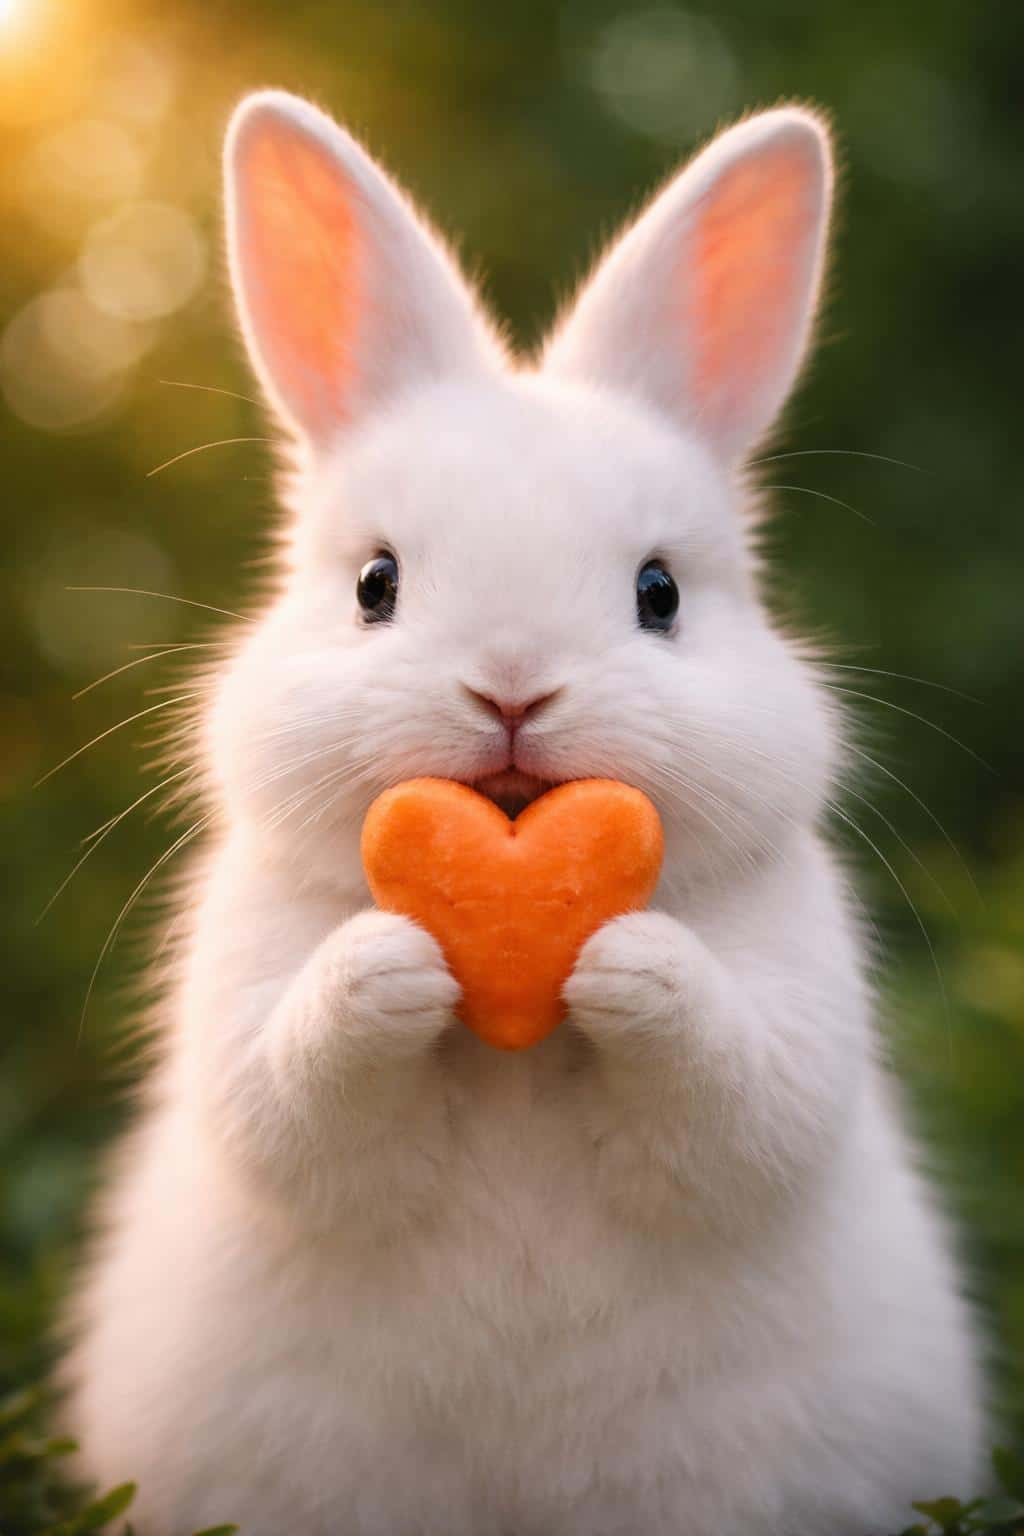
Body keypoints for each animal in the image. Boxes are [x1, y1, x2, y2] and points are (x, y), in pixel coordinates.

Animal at [63, 91, 985, 1536]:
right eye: (375, 584)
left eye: (660, 593)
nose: (510, 688)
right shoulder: (246, 1021)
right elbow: (296, 1099)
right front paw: (393, 963)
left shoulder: (791, 1024)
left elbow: (734, 1097)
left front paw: (624, 960)